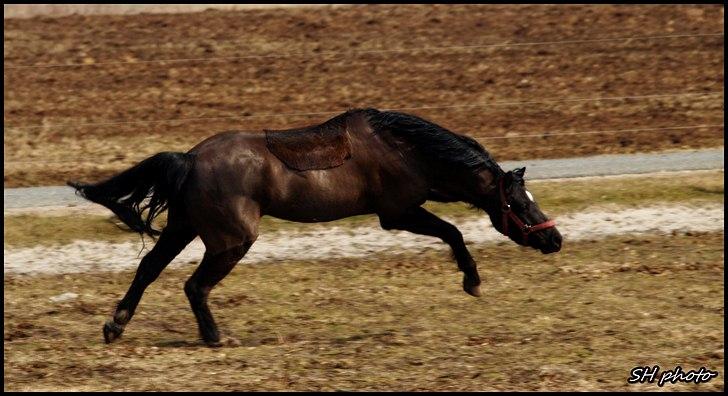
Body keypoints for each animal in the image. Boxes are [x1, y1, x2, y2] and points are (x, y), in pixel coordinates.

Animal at [68, 108, 564, 346]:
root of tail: (189, 160)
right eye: (519, 201)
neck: (406, 149)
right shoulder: (398, 213)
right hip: (230, 242)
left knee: (148, 269)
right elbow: (453, 233)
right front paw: (472, 281)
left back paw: (115, 326)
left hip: (183, 229)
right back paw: (214, 337)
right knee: (194, 286)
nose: (555, 238)